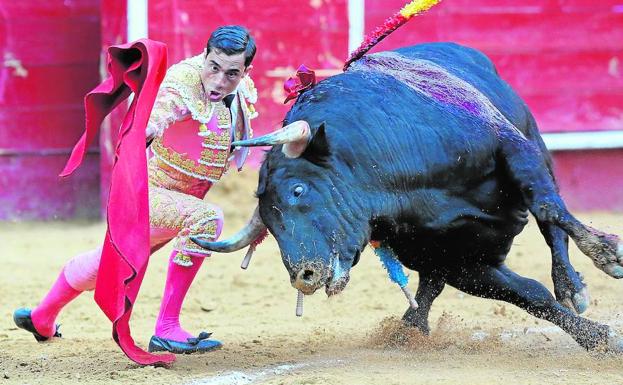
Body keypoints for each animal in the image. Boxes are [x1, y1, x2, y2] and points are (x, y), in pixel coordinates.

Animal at [195, 42, 623, 352]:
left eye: (299, 189)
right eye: (269, 222)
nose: (304, 276)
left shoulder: (513, 148)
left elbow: (550, 211)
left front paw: (609, 256)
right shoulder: (463, 263)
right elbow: (530, 295)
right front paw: (601, 338)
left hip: (537, 146)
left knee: (553, 225)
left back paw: (572, 285)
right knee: (430, 285)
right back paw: (409, 328)